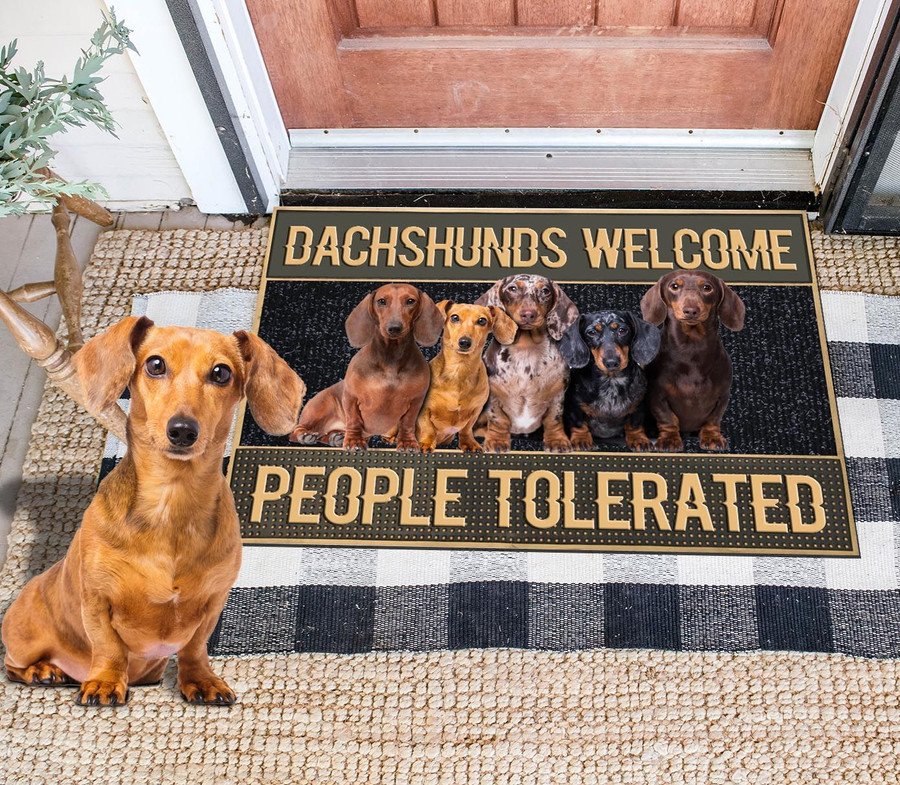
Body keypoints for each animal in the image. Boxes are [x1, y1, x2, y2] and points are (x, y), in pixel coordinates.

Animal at [1, 316, 306, 708]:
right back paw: (43, 671)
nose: (182, 430)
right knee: (12, 665)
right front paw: (105, 683)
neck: (171, 501)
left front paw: (201, 680)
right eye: (155, 365)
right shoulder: (97, 599)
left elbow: (195, 647)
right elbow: (108, 646)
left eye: (221, 373)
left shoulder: (214, 601)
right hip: (25, 640)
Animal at [290, 284, 442, 450]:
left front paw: (407, 442)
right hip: (321, 408)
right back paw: (307, 435)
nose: (394, 328)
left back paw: (335, 437)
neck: (391, 358)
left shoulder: (416, 401)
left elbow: (407, 422)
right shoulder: (351, 397)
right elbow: (354, 420)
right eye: (381, 301)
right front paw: (354, 441)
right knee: (295, 432)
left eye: (410, 301)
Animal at [414, 302, 516, 454]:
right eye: (454, 317)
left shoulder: (476, 410)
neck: (459, 370)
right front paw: (426, 443)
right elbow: (428, 428)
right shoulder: (424, 409)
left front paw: (468, 443)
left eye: (482, 320)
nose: (465, 342)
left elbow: (466, 429)